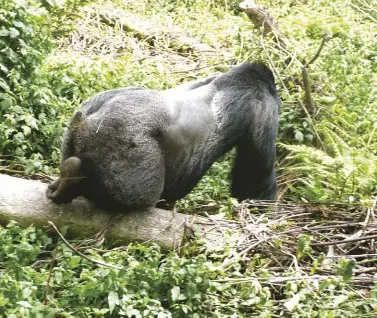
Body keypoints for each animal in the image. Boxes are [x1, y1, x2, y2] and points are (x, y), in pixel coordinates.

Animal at [46, 62, 280, 211]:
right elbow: (256, 173)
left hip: (77, 119)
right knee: (138, 198)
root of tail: (92, 113)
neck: (232, 80)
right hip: (120, 136)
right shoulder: (263, 107)